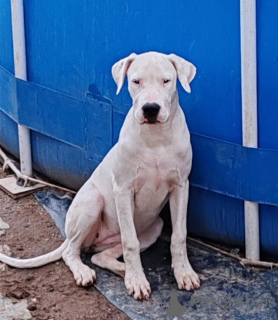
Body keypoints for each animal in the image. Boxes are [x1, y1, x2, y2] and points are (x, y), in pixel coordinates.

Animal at [0, 52, 200, 300]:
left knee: (100, 255)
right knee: (71, 251)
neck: (156, 138)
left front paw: (184, 273)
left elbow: (179, 235)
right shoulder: (123, 189)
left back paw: (123, 269)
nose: (150, 109)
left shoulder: (181, 187)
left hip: (155, 226)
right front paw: (136, 281)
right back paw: (88, 272)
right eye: (136, 81)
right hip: (91, 203)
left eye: (166, 80)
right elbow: (130, 242)